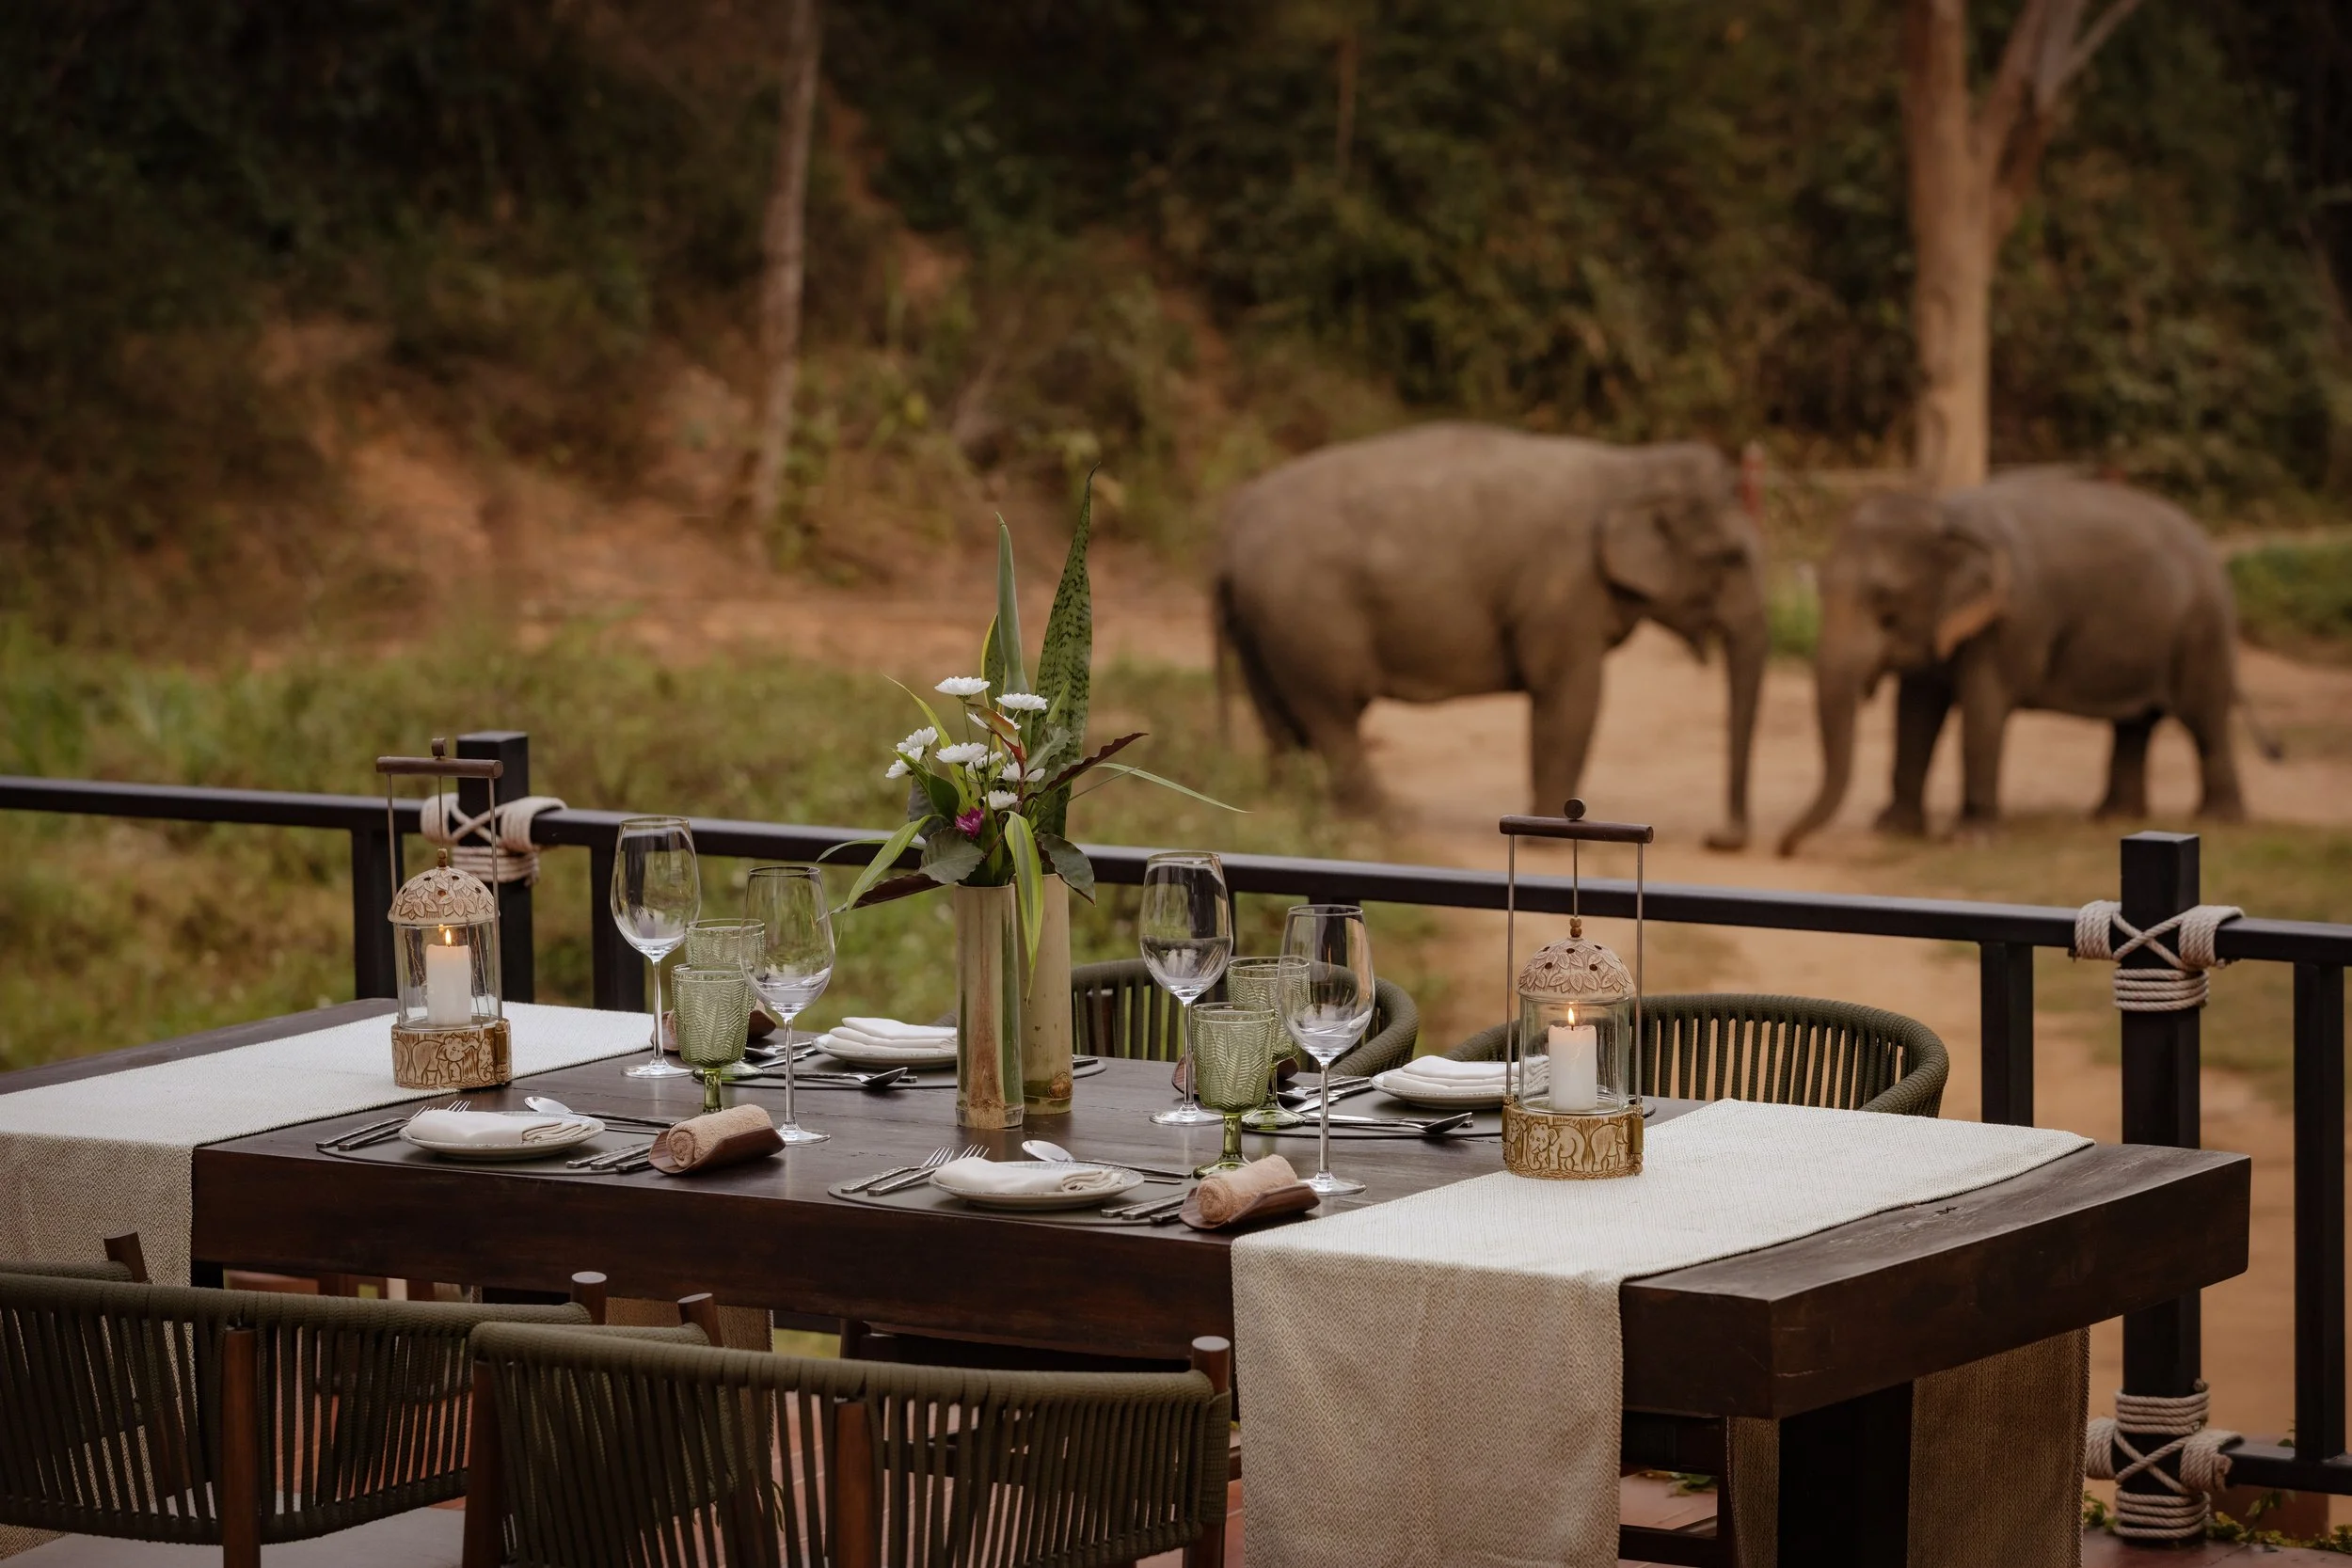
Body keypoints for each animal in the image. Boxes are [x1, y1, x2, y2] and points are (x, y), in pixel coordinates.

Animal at [1213, 422, 1767, 847]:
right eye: (1730, 557)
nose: (1720, 838)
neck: (1633, 466)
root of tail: (1231, 532)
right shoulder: (1561, 588)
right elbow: (1571, 697)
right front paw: (1551, 839)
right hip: (1307, 619)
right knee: (1332, 713)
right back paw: (1387, 821)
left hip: (1262, 624)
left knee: (1280, 717)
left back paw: (1289, 809)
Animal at [1778, 469, 2252, 856]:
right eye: (1819, 589)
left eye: (1887, 608)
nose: (1786, 849)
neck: (1946, 517)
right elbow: (1914, 713)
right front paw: (1893, 830)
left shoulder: (2012, 619)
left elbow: (1983, 713)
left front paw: (1971, 840)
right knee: (2136, 722)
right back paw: (2114, 818)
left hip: (2203, 628)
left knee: (2203, 718)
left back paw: (2218, 820)